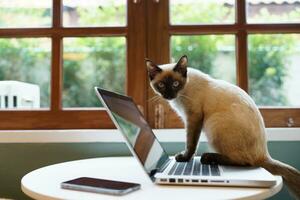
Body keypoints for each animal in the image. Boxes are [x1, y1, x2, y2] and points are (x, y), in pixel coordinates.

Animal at [146, 55, 300, 199]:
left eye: (175, 84)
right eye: (161, 85)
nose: (169, 95)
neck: (181, 93)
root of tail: (264, 154)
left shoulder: (193, 117)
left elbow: (191, 142)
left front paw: (184, 157)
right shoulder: (189, 118)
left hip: (213, 124)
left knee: (245, 161)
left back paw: (208, 157)